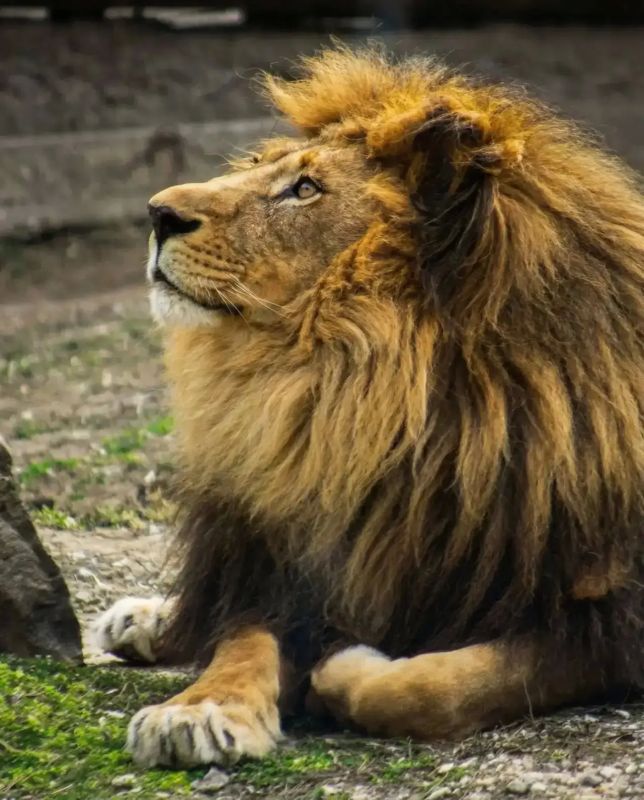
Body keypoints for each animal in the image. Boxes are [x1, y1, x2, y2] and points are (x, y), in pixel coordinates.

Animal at [94, 46, 644, 768]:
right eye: (259, 165)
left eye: (305, 190)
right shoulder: (291, 562)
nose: (157, 213)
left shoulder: (605, 616)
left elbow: (432, 688)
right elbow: (243, 636)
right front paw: (198, 710)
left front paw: (346, 665)